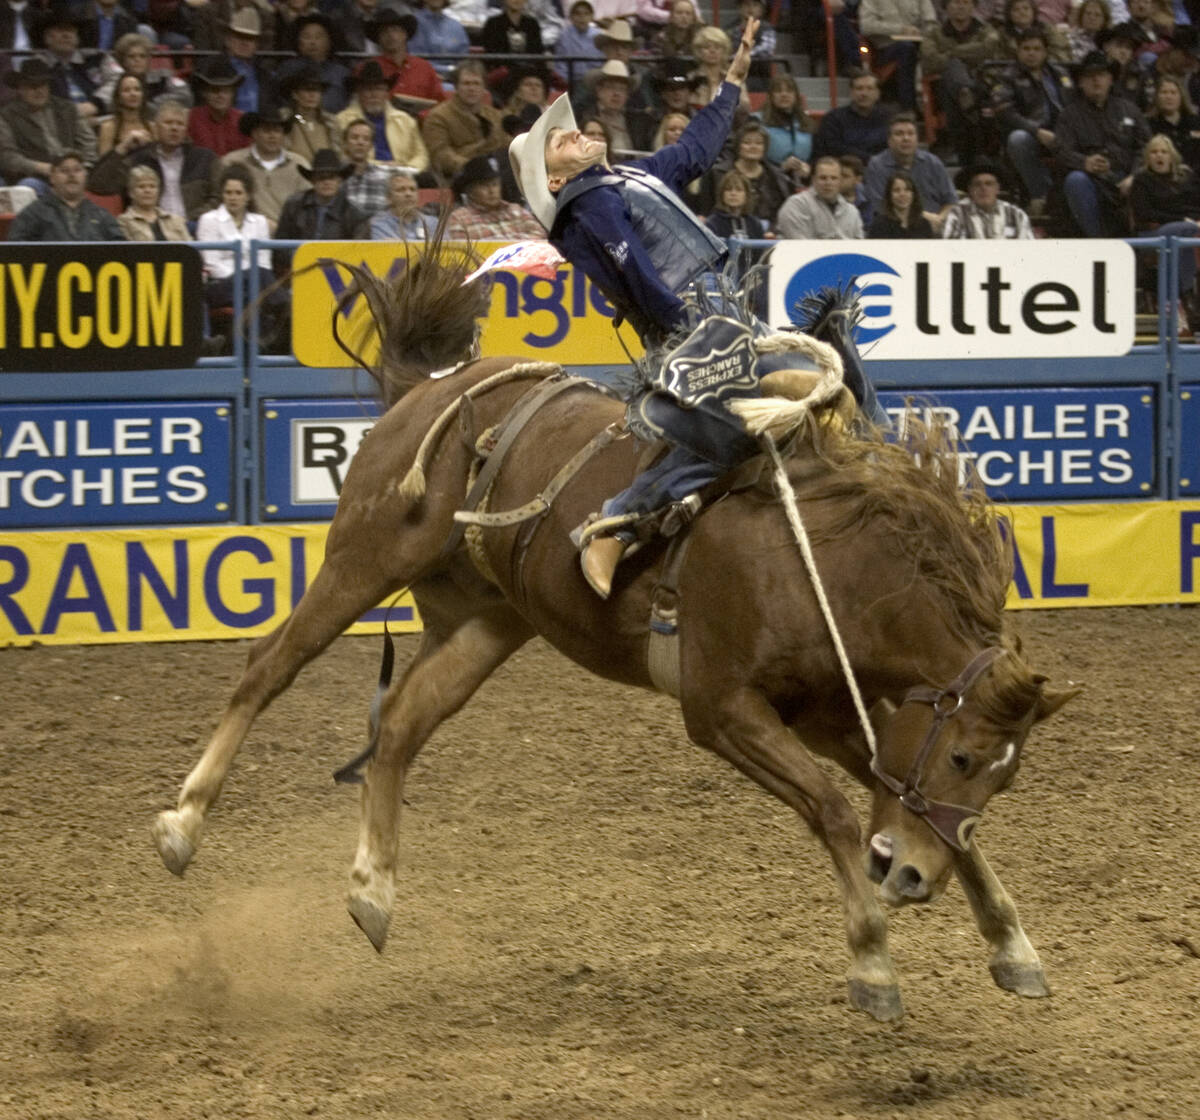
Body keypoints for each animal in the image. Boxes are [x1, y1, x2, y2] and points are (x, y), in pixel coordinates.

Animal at [150, 237, 1080, 1022]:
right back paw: (182, 826)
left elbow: (919, 816)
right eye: (962, 758)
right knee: (269, 667)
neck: (822, 557)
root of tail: (431, 386)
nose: (911, 876)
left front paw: (1013, 946)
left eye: (1003, 776)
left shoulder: (829, 710)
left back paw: (374, 891)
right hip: (363, 555)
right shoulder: (720, 710)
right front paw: (874, 963)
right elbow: (831, 810)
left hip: (484, 618)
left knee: (403, 725)